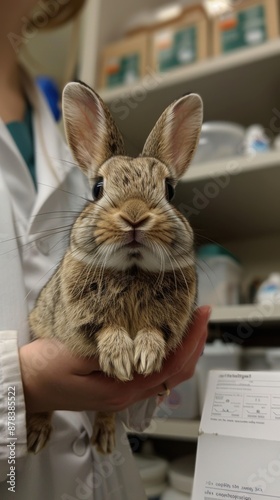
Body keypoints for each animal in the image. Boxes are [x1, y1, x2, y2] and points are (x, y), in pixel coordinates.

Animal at [26, 80, 202, 456]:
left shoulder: (169, 320)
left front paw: (145, 356)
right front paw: (122, 357)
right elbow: (105, 329)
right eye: (98, 188)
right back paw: (36, 437)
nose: (134, 215)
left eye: (169, 190)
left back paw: (104, 439)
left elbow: (154, 330)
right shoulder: (81, 318)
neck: (131, 270)